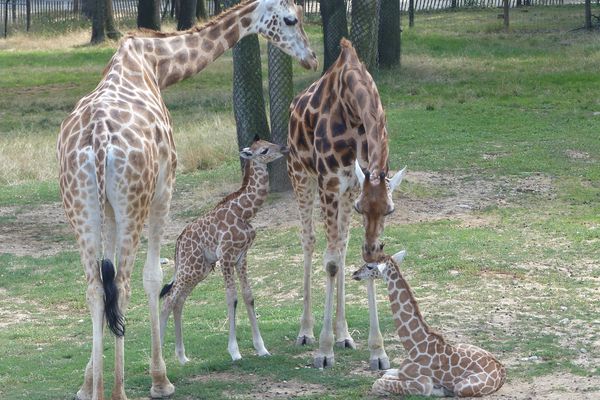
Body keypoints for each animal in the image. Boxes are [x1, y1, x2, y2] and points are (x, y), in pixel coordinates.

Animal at [159, 139, 286, 364]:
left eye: (269, 143)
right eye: (264, 150)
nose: (284, 148)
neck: (245, 212)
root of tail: (178, 243)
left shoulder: (242, 256)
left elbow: (248, 295)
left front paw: (261, 348)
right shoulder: (226, 256)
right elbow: (231, 298)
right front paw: (235, 352)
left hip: (200, 269)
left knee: (178, 301)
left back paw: (182, 358)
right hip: (190, 267)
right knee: (168, 301)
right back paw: (158, 361)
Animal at [288, 39, 408, 370]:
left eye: (390, 210)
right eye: (360, 208)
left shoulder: (353, 185)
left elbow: (355, 257)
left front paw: (378, 352)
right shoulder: (330, 183)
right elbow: (329, 262)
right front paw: (324, 351)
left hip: (338, 190)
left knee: (340, 247)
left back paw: (344, 335)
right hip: (300, 176)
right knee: (310, 241)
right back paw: (306, 332)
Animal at [352, 250, 506, 396]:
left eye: (370, 266)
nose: (355, 273)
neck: (414, 346)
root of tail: (502, 372)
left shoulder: (422, 384)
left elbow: (377, 384)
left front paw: (440, 389)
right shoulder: (402, 372)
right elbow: (385, 375)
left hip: (462, 387)